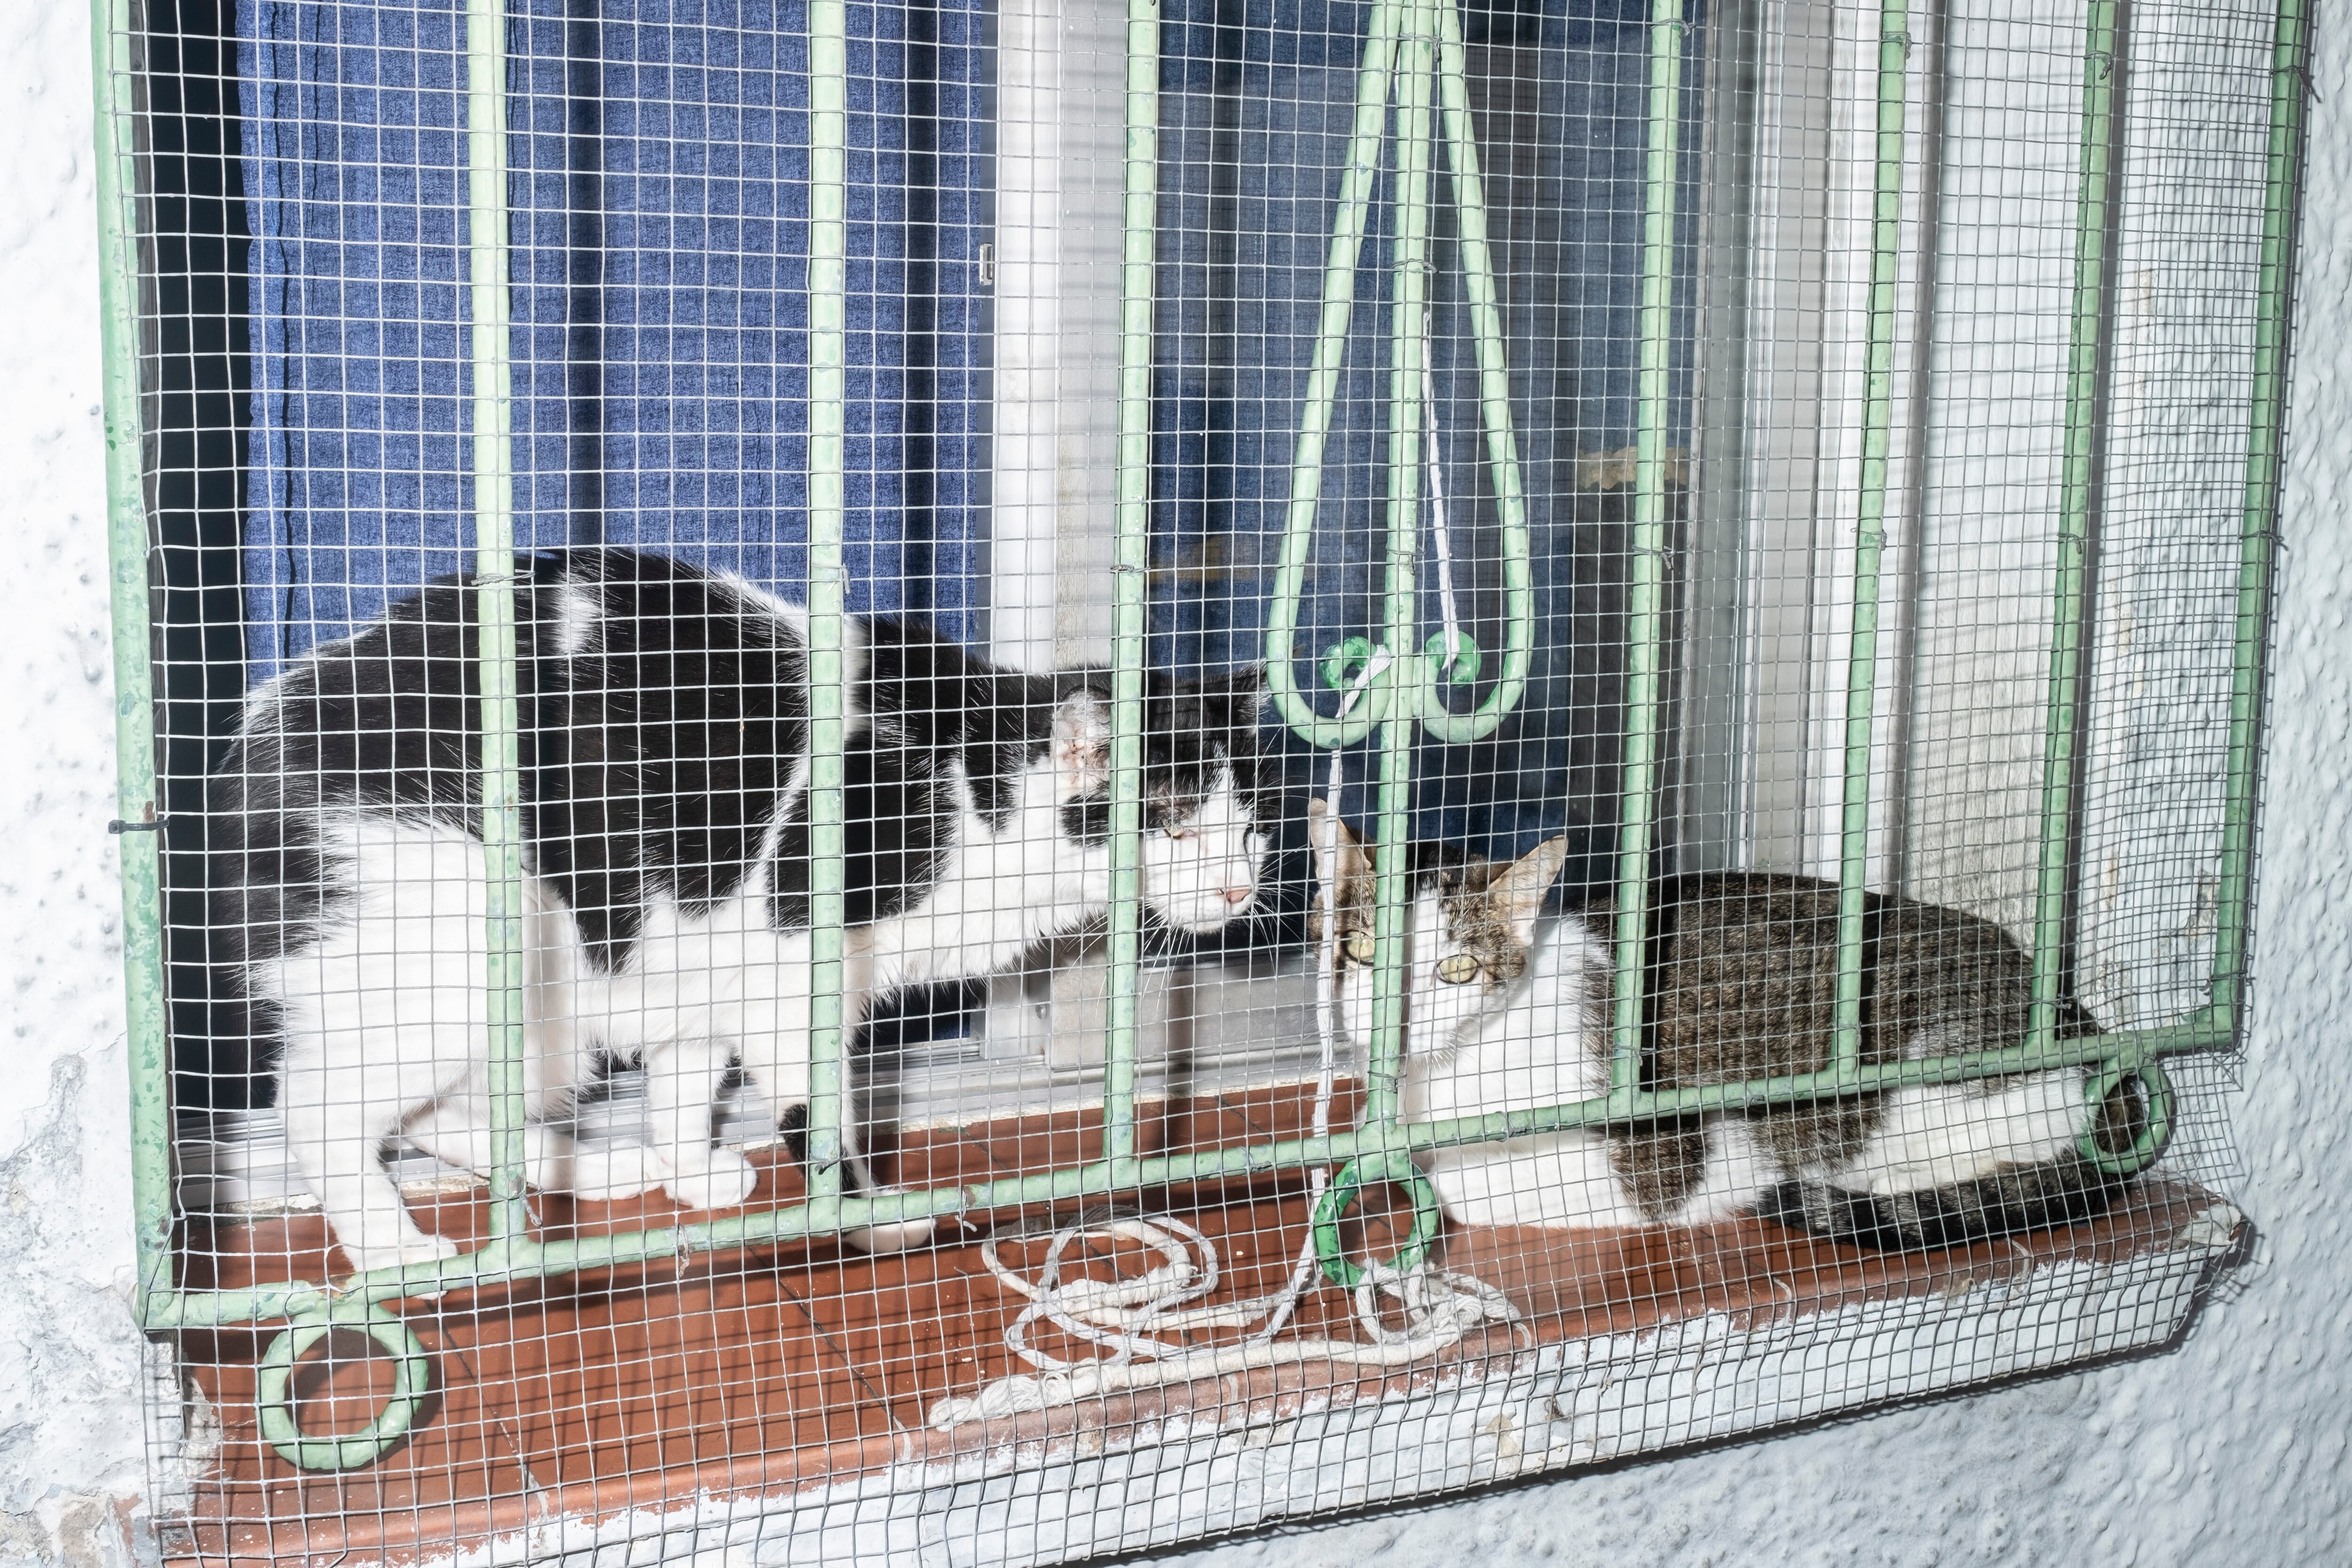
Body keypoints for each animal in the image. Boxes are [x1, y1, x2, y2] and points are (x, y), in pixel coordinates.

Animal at [214, 552, 1279, 1279]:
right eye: (1174, 823)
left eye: (1248, 829)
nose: (1238, 890)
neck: (971, 782)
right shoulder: (787, 966)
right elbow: (819, 1115)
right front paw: (868, 1216)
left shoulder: (694, 968)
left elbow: (685, 1084)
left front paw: (690, 1170)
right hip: (450, 947)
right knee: (318, 1103)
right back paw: (391, 1242)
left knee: (441, 1111)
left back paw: (585, 1166)